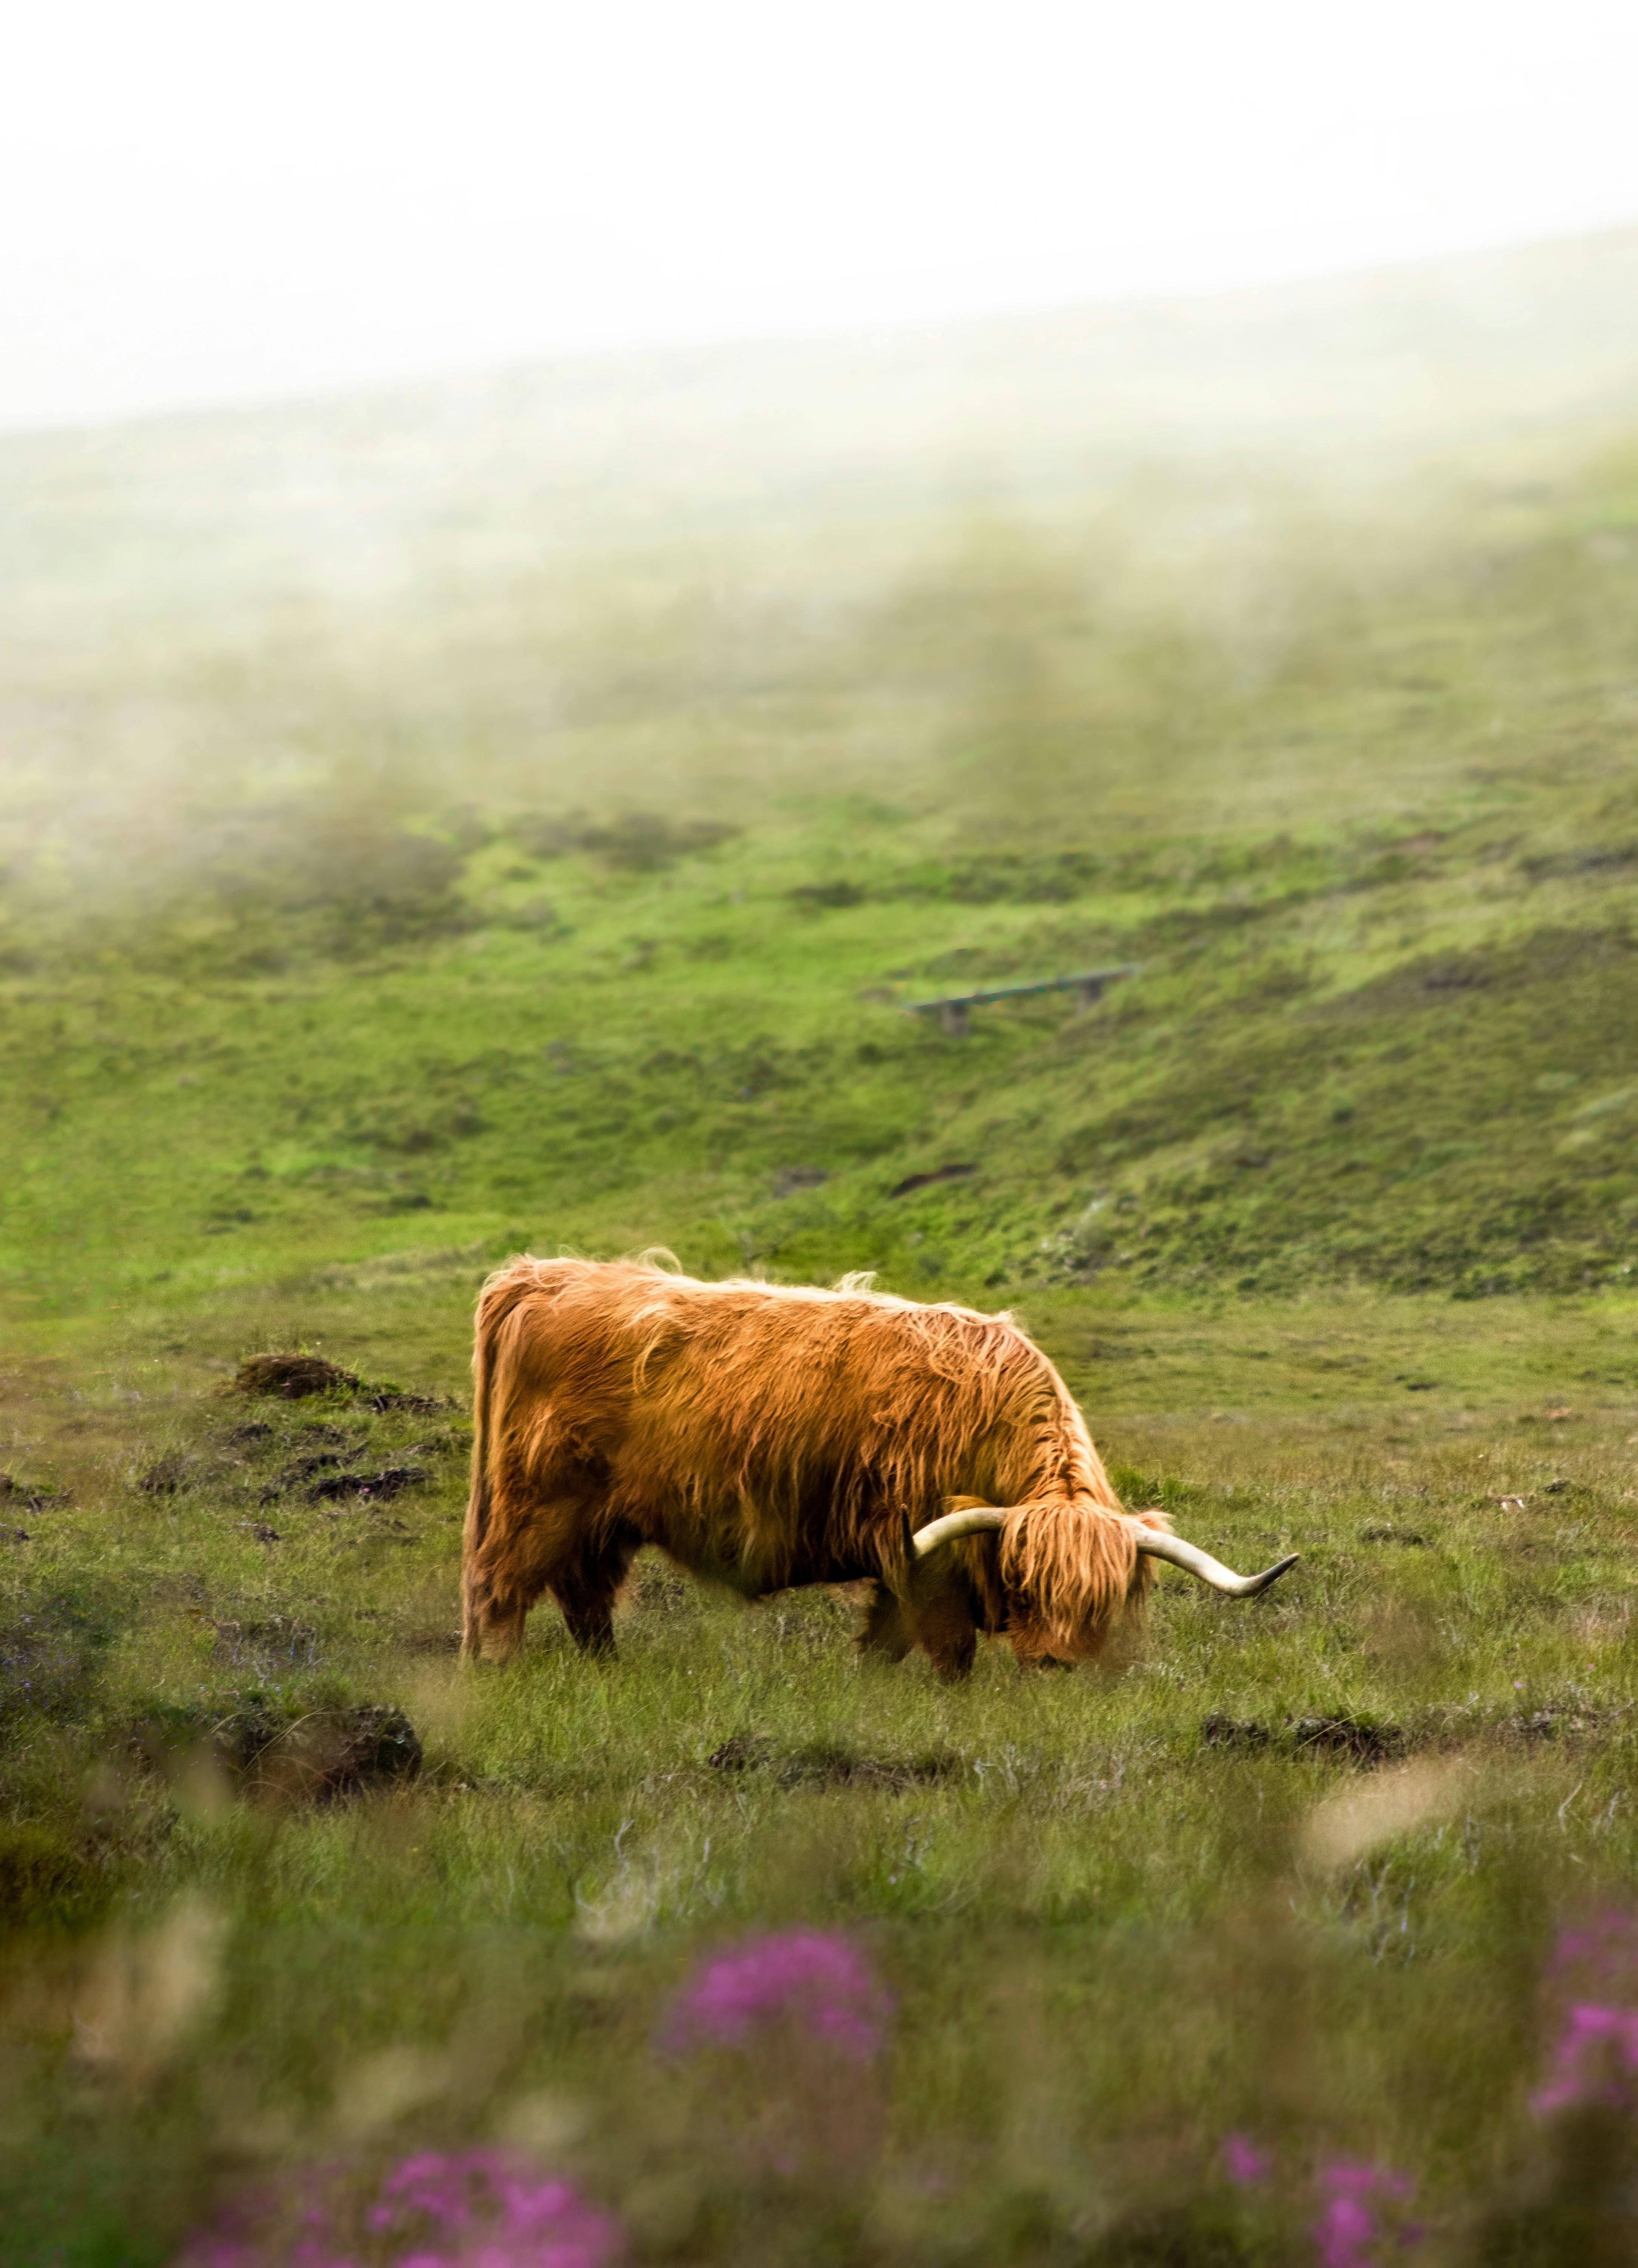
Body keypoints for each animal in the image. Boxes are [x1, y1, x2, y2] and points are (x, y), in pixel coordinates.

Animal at [456, 1252, 1288, 1678]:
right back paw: (501, 1671)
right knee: (500, 1585)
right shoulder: (924, 1556)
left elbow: (885, 1641)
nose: (1057, 1664)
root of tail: (540, 1274)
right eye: (1024, 1585)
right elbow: (949, 1650)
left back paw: (608, 1670)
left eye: (1104, 1601)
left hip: (601, 1520)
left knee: (584, 1594)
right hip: (539, 1501)